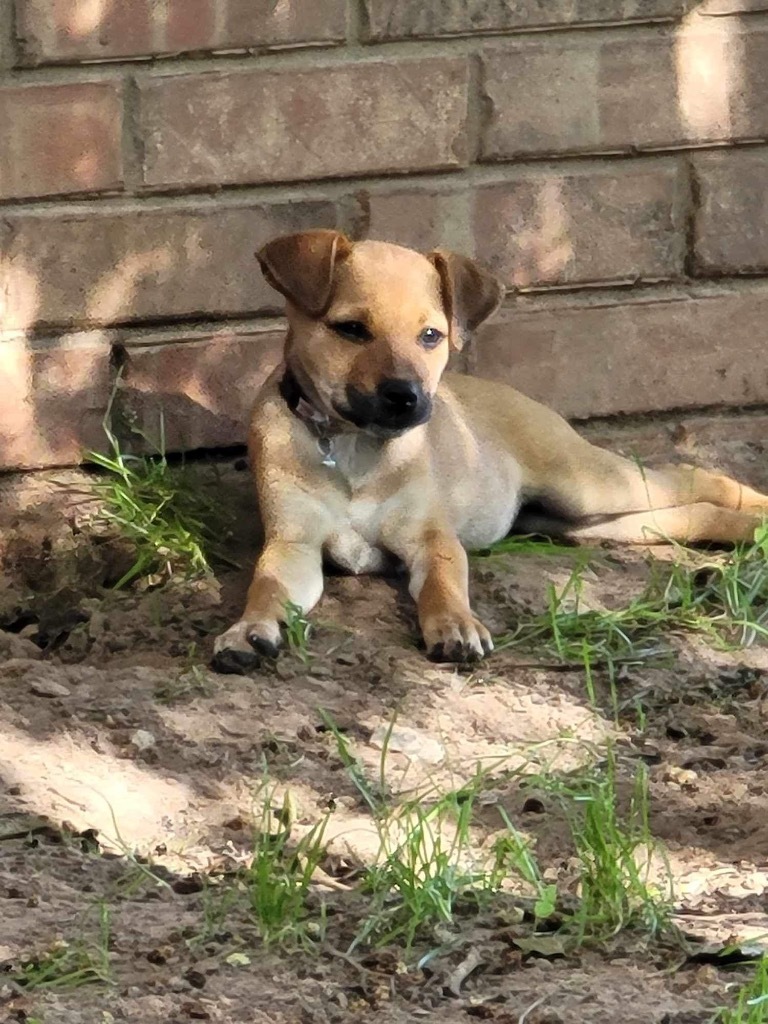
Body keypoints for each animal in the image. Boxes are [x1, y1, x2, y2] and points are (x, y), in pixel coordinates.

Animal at [214, 232, 768, 671]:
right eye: (350, 329)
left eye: (431, 336)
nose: (406, 398)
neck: (353, 446)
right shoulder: (293, 546)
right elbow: (267, 587)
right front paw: (249, 629)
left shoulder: (431, 538)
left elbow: (443, 582)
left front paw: (455, 625)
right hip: (576, 522)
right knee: (683, 515)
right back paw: (749, 530)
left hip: (585, 482)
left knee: (696, 476)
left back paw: (755, 508)